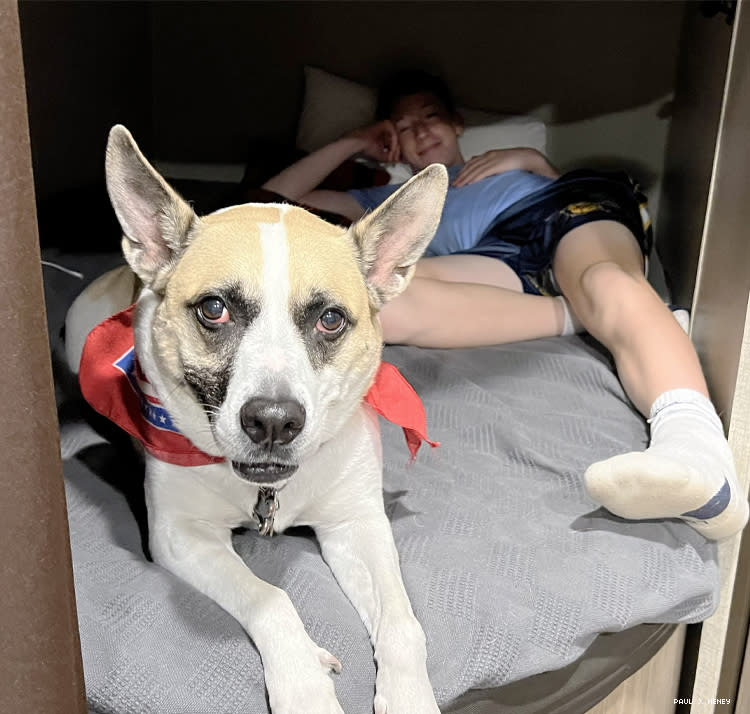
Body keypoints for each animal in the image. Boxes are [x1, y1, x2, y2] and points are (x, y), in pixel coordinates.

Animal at [69, 128, 446, 712]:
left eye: (330, 319)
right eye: (214, 308)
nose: (273, 422)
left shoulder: (358, 525)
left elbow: (405, 624)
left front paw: (408, 696)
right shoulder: (181, 536)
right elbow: (271, 597)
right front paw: (306, 683)